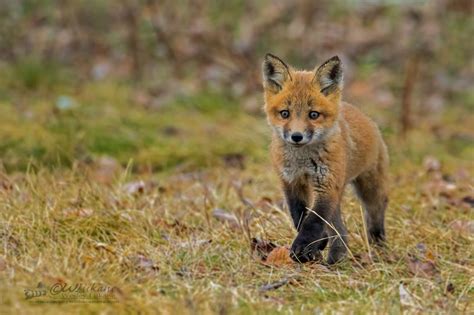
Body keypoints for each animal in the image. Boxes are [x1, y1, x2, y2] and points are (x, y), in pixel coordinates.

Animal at [262, 54, 388, 264]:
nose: (296, 136)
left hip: (368, 188)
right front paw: (317, 244)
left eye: (313, 115)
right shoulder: (291, 183)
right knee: (341, 231)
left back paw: (378, 242)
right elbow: (300, 217)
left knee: (377, 211)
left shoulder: (327, 185)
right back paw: (335, 259)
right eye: (285, 113)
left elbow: (312, 221)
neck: (303, 161)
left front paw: (303, 247)